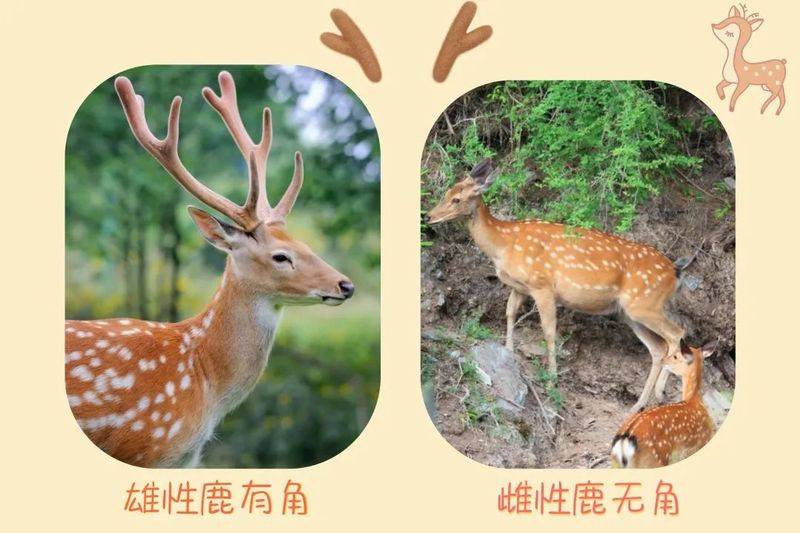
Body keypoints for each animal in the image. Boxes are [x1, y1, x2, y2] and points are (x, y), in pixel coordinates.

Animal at [424, 159, 686, 413]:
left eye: (456, 199)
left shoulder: (542, 286)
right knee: (658, 348)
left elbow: (549, 331)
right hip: (629, 313)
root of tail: (675, 273)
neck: (504, 245)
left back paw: (660, 394)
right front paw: (508, 352)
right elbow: (509, 313)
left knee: (676, 333)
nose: (427, 216)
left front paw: (551, 379)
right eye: (446, 192)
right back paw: (640, 403)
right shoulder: (519, 287)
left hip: (645, 303)